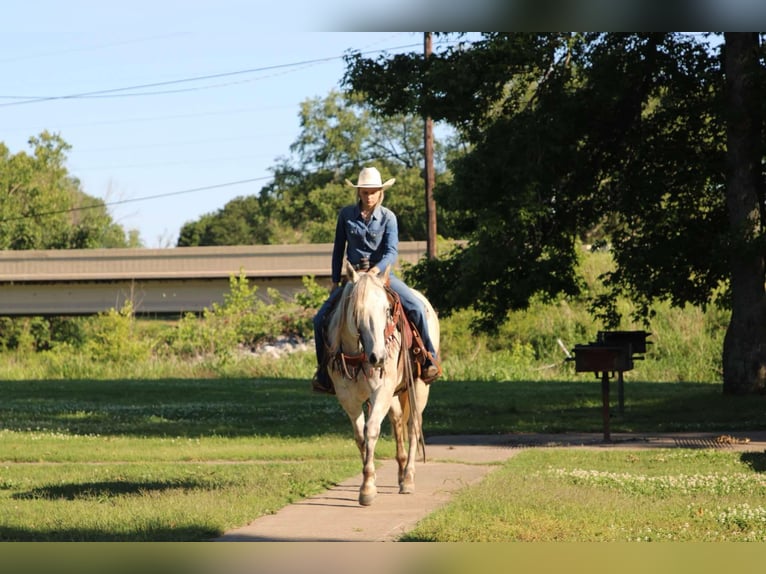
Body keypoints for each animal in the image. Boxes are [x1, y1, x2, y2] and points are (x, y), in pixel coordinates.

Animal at [324, 261, 439, 506]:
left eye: (387, 310)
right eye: (357, 312)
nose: (378, 357)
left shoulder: (381, 392)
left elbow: (372, 431)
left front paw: (367, 488)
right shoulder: (348, 398)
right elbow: (360, 436)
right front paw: (371, 480)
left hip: (419, 388)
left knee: (413, 427)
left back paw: (408, 478)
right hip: (394, 395)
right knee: (397, 421)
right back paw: (401, 470)